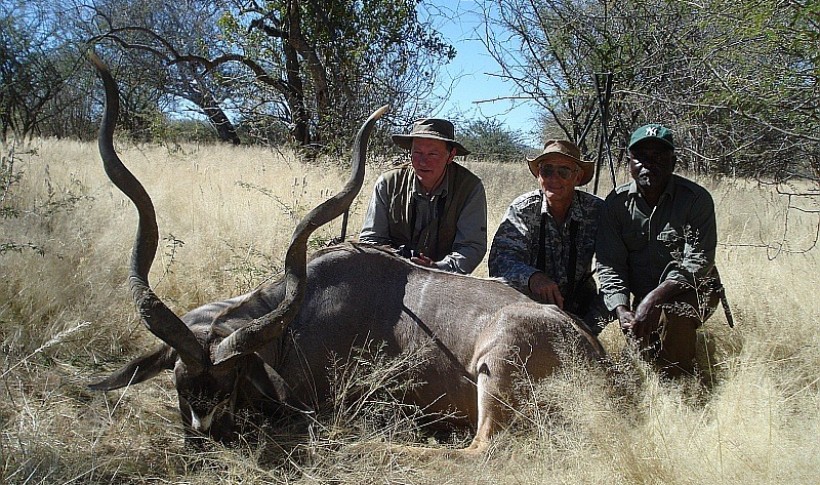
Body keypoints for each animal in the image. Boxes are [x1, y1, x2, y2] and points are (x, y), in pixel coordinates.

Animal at [88, 54, 604, 456]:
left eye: (231, 378)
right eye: (178, 378)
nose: (206, 437)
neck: (295, 322)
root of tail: (600, 361)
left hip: (495, 371)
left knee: (479, 450)